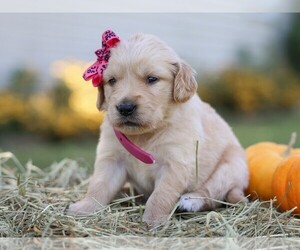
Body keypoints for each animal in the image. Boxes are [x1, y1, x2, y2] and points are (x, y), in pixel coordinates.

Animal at [67, 32, 250, 226]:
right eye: (112, 81)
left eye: (152, 79)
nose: (125, 108)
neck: (145, 134)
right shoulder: (111, 159)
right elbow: (98, 185)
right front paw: (84, 208)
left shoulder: (175, 164)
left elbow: (160, 195)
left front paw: (153, 221)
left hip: (230, 167)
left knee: (212, 193)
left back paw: (190, 201)